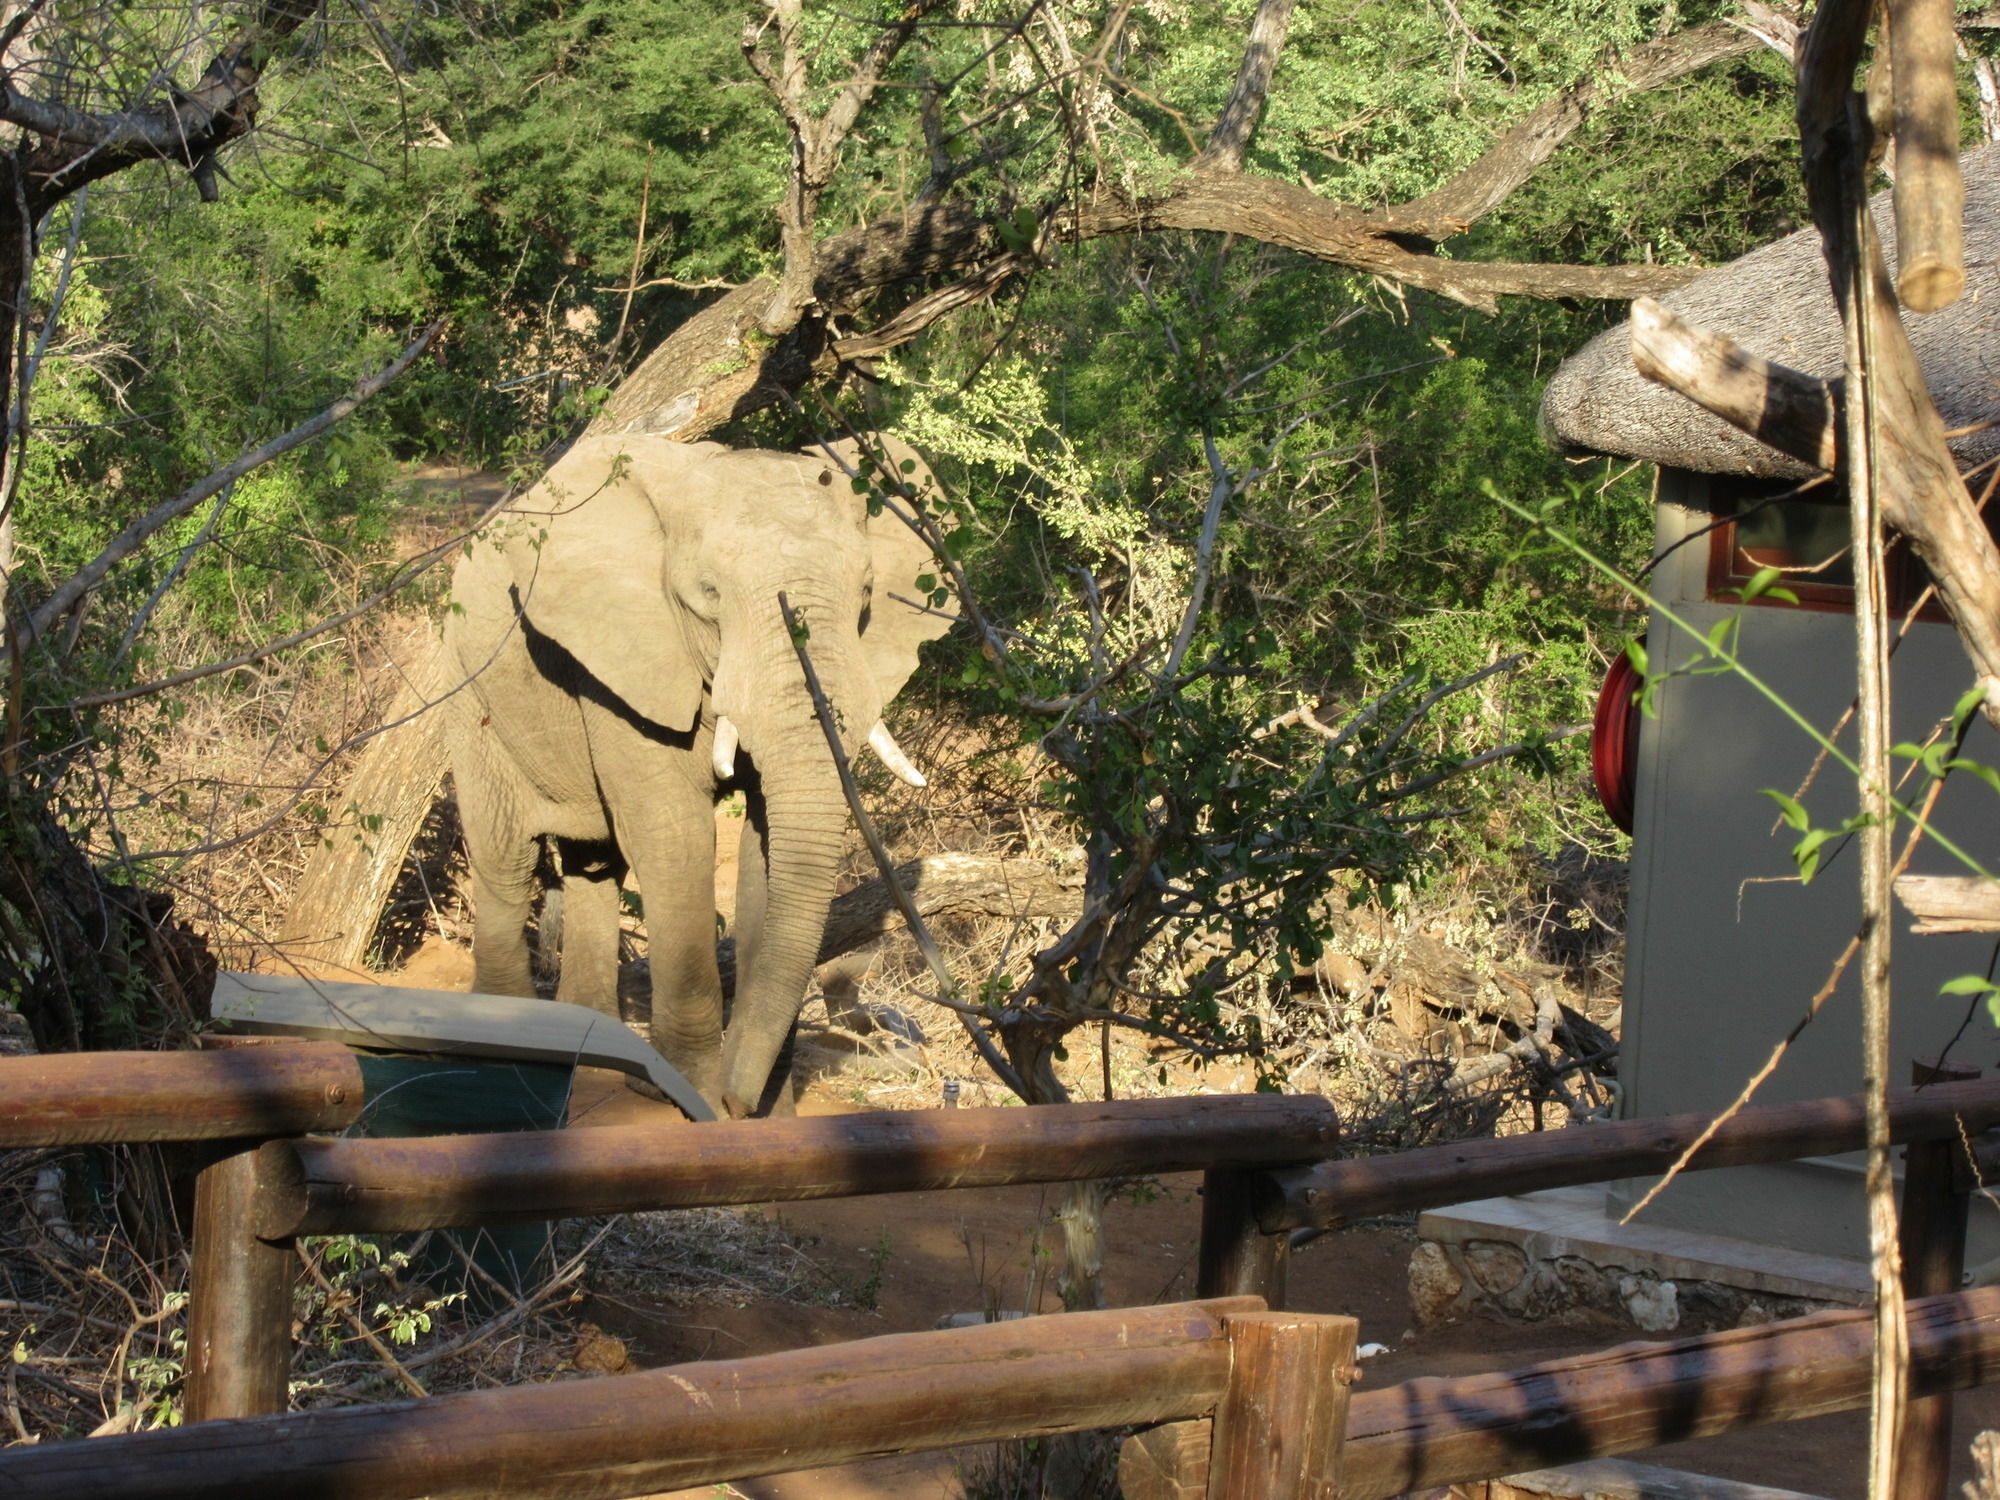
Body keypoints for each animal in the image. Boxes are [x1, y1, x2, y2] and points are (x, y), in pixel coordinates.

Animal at [446, 432, 952, 1120]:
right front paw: (685, 1094)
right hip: (470, 685)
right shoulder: (623, 660)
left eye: (868, 592)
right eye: (709, 594)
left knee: (593, 864)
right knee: (507, 857)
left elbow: (767, 849)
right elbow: (674, 837)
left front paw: (767, 1109)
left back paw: (589, 1041)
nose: (738, 1104)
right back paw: (510, 1043)